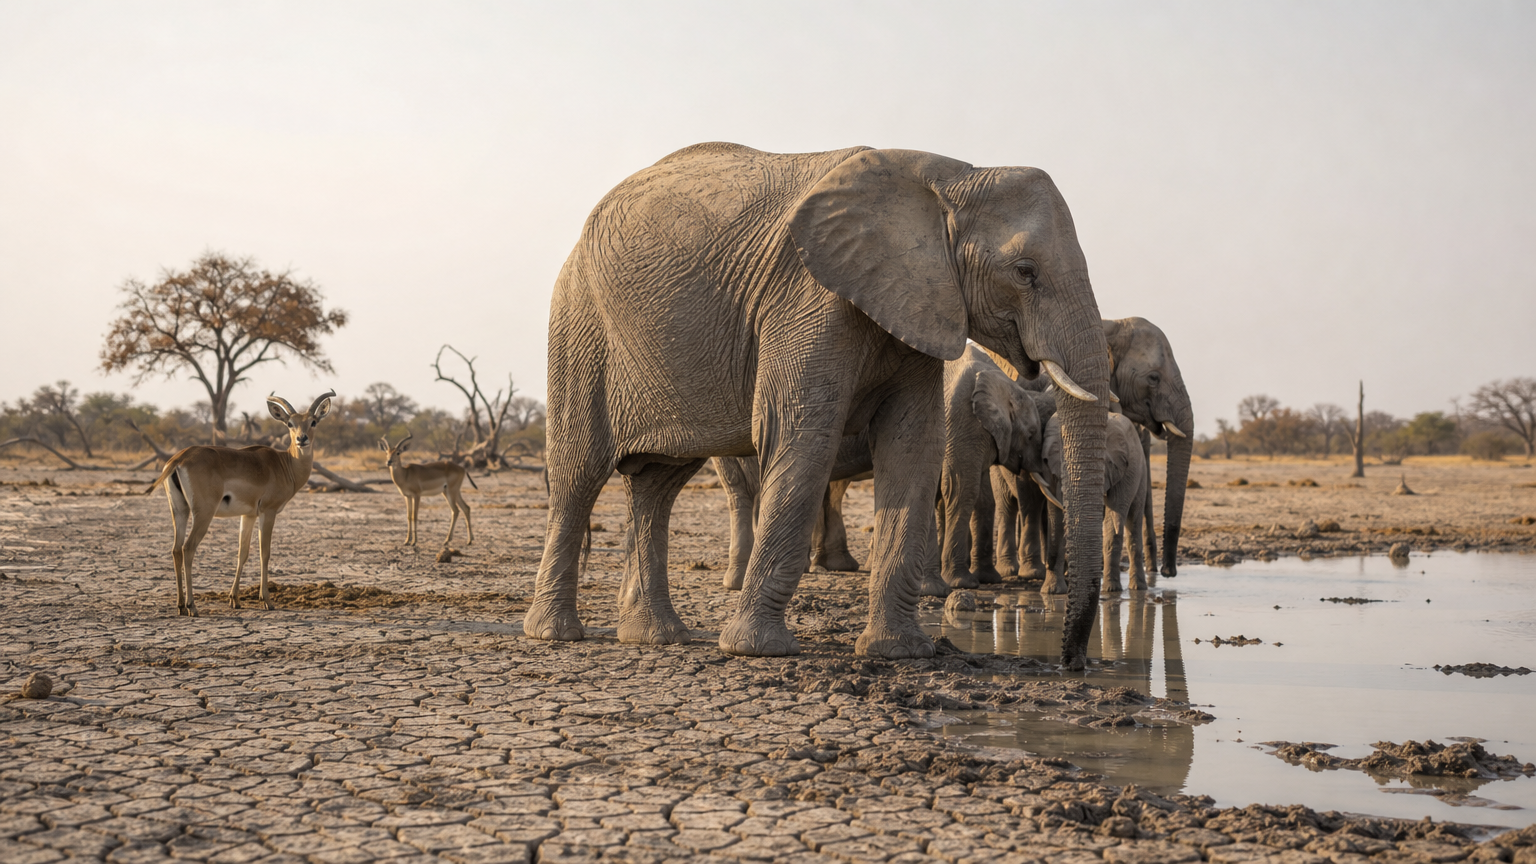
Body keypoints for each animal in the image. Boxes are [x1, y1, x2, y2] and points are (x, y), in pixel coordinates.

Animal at [146, 391, 334, 616]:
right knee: (188, 548)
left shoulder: (249, 514)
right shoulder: (268, 512)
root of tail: (180, 458)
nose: (301, 439)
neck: (285, 464)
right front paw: (267, 600)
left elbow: (242, 553)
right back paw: (192, 606)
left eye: (313, 421)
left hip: (180, 511)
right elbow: (264, 553)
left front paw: (234, 599)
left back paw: (181, 606)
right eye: (290, 423)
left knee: (175, 549)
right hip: (204, 514)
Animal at [525, 143, 1111, 666]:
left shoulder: (919, 308)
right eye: (1025, 272)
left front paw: (899, 653)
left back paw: (657, 638)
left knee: (658, 482)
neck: (951, 176)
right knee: (579, 474)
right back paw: (556, 635)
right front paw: (757, 651)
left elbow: (912, 449)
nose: (1072, 662)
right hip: (579, 324)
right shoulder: (809, 297)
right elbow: (802, 438)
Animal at [1039, 412, 1151, 592]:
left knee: (1132, 519)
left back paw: (1130, 589)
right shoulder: (1049, 471)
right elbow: (1055, 517)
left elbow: (1113, 518)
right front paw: (1051, 592)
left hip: (1140, 470)